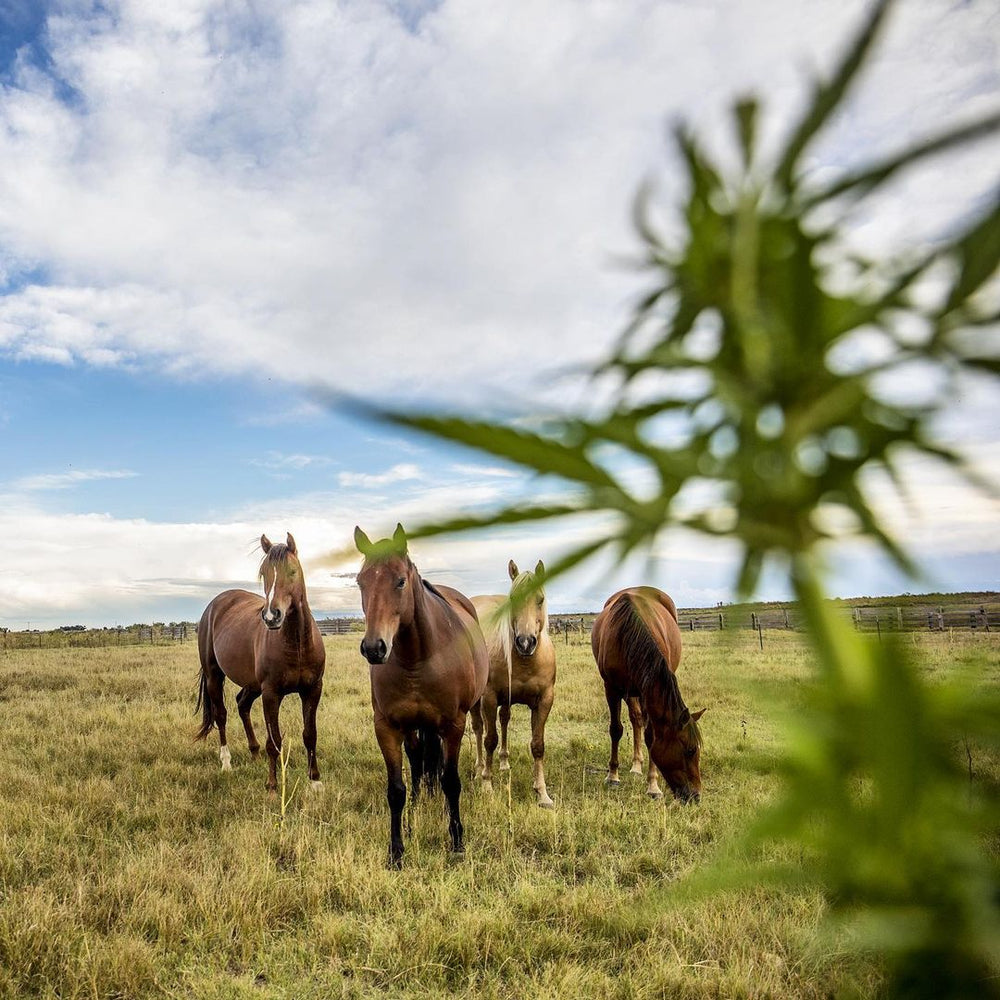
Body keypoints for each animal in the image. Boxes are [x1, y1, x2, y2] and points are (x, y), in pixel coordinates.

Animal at [195, 533, 326, 793]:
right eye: (264, 573)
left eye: (292, 571)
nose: (271, 616)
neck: (297, 645)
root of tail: (215, 604)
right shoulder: (271, 693)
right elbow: (274, 741)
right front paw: (273, 785)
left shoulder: (312, 689)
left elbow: (310, 734)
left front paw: (315, 781)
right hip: (215, 675)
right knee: (221, 714)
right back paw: (226, 763)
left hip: (252, 684)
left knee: (242, 704)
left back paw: (254, 753)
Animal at [354, 523, 488, 868]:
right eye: (360, 581)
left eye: (400, 580)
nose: (374, 648)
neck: (417, 659)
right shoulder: (387, 727)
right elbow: (396, 789)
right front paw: (396, 850)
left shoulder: (453, 725)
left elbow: (451, 781)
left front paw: (457, 843)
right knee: (417, 763)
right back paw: (415, 810)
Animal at [471, 559, 557, 808]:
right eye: (513, 598)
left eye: (540, 598)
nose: (525, 642)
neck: (526, 661)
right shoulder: (489, 698)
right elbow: (490, 739)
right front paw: (487, 786)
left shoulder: (544, 700)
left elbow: (537, 745)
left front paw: (542, 793)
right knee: (478, 728)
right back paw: (479, 768)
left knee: (504, 719)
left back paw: (504, 762)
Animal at [591, 586, 704, 803]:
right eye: (690, 750)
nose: (696, 796)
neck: (627, 634)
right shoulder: (612, 688)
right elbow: (616, 729)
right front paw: (612, 776)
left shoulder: (646, 691)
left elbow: (651, 736)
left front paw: (653, 785)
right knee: (636, 719)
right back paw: (636, 765)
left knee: (640, 721)